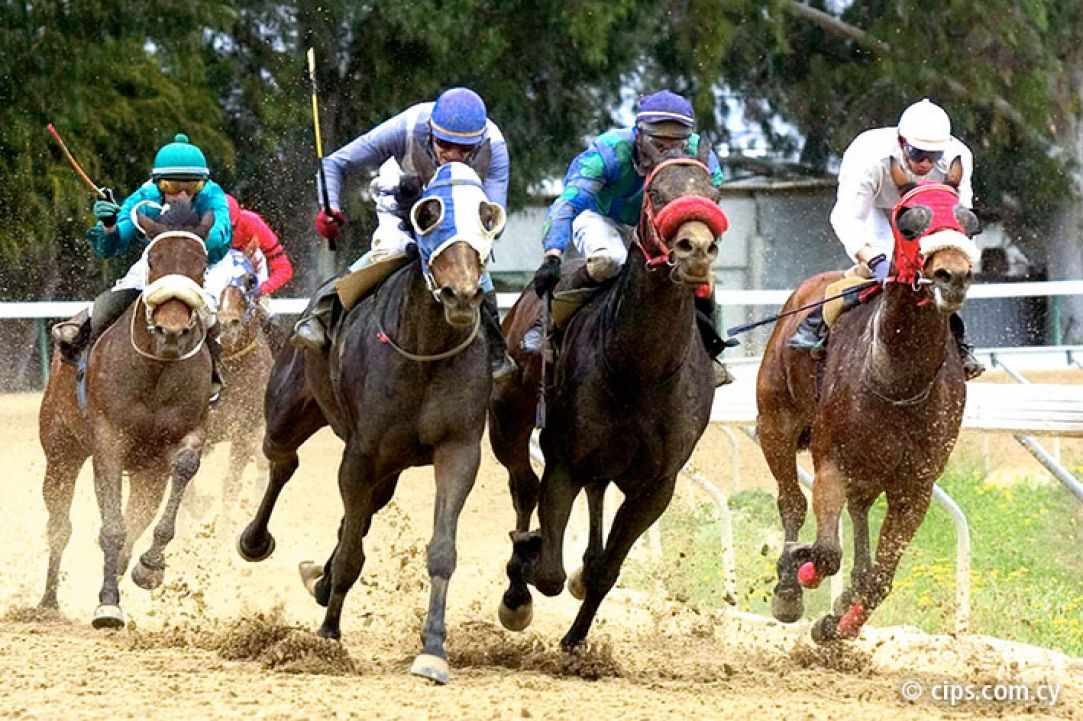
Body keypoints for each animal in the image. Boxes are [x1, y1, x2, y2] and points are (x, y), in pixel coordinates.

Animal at [37, 200, 215, 628]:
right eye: (153, 259)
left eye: (201, 264)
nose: (171, 330)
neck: (157, 369)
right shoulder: (108, 439)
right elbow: (113, 528)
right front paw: (107, 604)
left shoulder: (184, 436)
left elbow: (181, 472)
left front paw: (149, 566)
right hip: (61, 450)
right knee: (59, 524)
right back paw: (48, 601)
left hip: (148, 470)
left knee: (140, 513)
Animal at [235, 162, 506, 684]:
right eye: (427, 214)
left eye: (487, 217)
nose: (462, 294)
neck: (424, 350)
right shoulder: (361, 452)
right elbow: (350, 552)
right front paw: (327, 635)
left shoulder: (458, 449)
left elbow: (441, 549)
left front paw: (433, 651)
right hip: (288, 409)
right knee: (283, 462)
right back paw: (256, 542)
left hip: (391, 466)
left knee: (358, 511)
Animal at [490, 150, 729, 649]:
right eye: (656, 192)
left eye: (714, 195)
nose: (696, 250)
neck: (640, 369)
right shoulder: (564, 460)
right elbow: (548, 571)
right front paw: (529, 561)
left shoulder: (657, 484)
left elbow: (605, 570)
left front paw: (576, 641)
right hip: (508, 416)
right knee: (523, 485)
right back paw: (519, 575)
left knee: (594, 496)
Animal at [756, 157, 980, 642]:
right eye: (909, 221)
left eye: (969, 220)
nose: (952, 275)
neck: (895, 380)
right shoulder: (831, 461)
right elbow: (824, 551)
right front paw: (801, 571)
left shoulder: (916, 484)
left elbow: (881, 577)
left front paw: (839, 619)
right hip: (775, 424)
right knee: (792, 501)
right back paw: (788, 587)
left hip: (872, 468)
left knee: (858, 511)